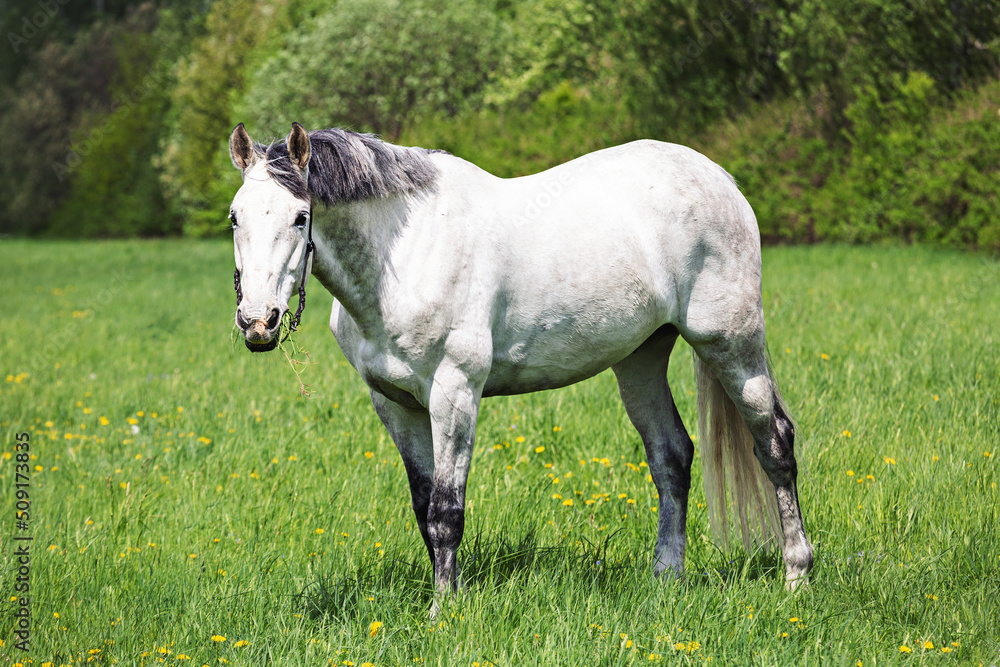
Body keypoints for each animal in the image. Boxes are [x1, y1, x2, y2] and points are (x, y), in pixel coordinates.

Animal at [227, 121, 812, 604]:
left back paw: (796, 576)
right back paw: (666, 580)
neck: (406, 255)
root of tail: (722, 180)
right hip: (641, 359)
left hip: (730, 343)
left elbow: (447, 511)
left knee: (775, 445)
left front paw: (445, 612)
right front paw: (449, 595)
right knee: (672, 457)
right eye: (234, 217)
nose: (258, 322)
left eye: (300, 216)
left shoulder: (455, 394)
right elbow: (423, 507)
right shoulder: (394, 404)